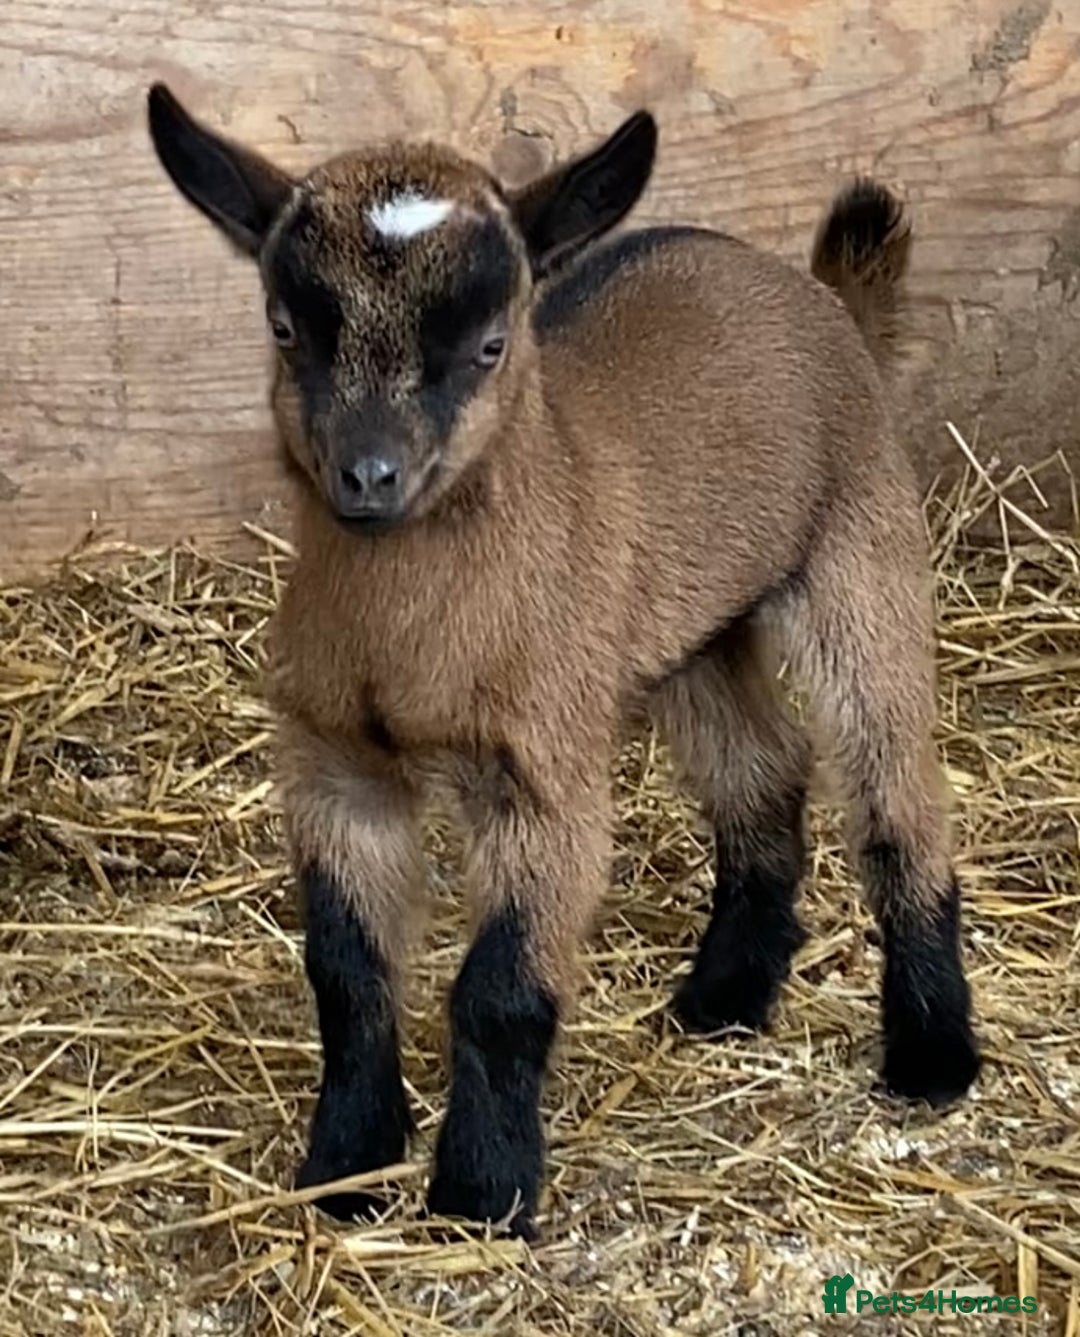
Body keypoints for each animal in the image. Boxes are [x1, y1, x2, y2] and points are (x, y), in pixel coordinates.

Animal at [147, 86, 980, 1240]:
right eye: (284, 326)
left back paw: (933, 1055)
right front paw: (347, 1165)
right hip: (691, 629)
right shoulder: (334, 762)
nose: (370, 474)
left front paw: (480, 1193)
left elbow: (499, 993)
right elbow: (347, 973)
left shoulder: (544, 774)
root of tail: (817, 292)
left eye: (491, 344)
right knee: (762, 766)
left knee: (899, 790)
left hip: (860, 553)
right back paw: (726, 996)